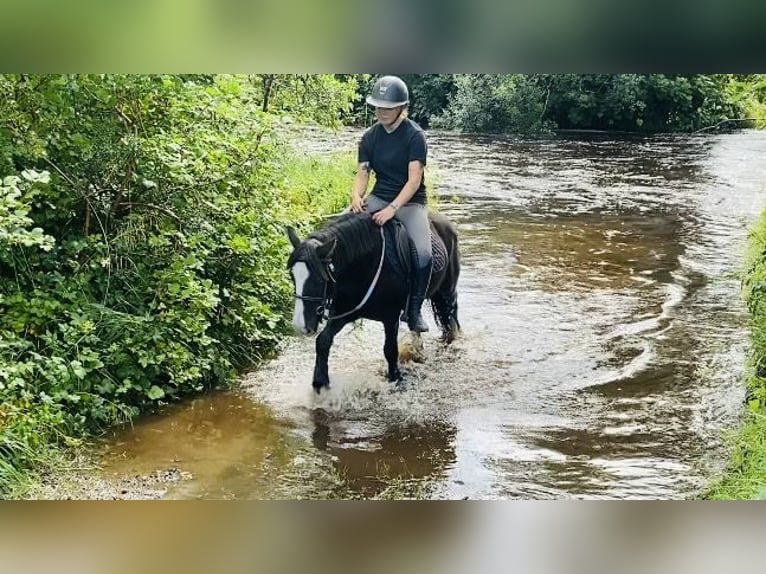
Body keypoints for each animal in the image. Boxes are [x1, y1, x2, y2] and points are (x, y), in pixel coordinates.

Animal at [288, 212, 462, 396]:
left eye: (319, 279)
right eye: (292, 276)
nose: (300, 326)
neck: (362, 265)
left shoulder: (390, 317)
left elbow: (390, 350)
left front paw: (396, 379)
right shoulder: (344, 313)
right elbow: (323, 341)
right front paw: (320, 384)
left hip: (447, 291)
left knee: (451, 319)